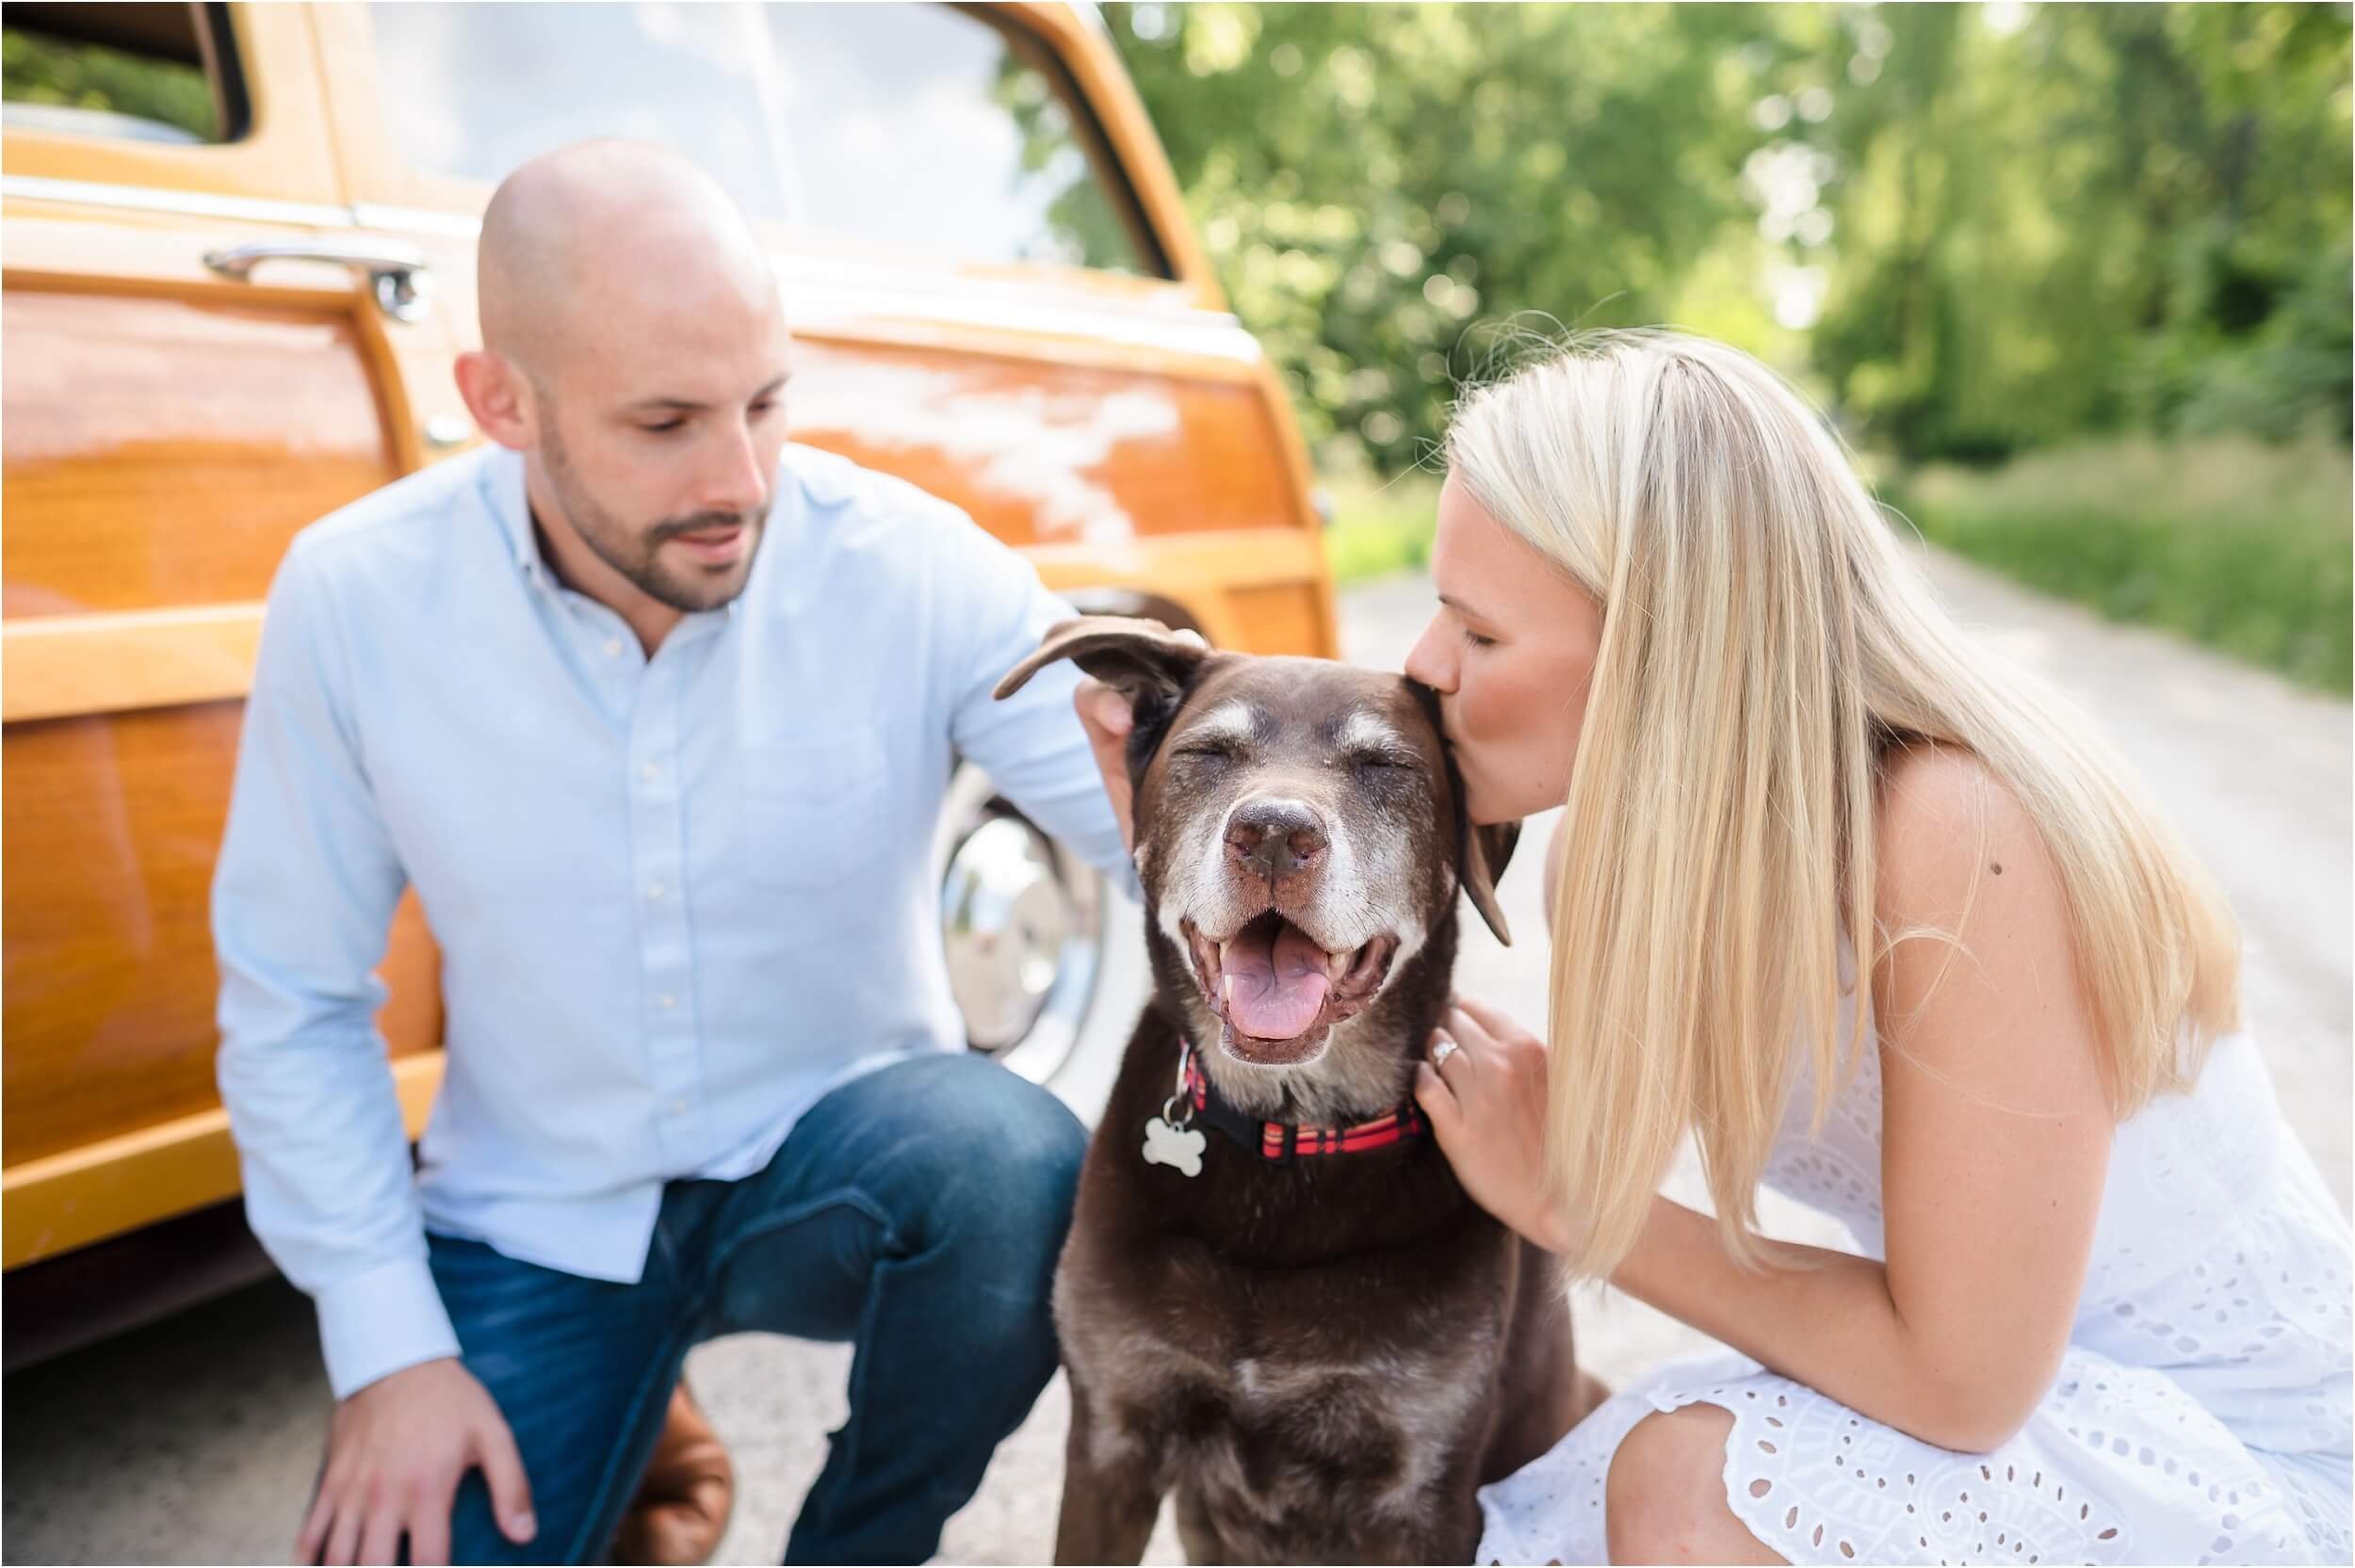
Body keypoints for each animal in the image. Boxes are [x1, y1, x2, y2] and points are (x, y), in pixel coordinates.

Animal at [994, 622, 1583, 1563]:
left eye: (1385, 766)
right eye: (1209, 753)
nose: (1273, 831)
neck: (1292, 1133)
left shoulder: (1423, 1489)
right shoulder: (1111, 1436)